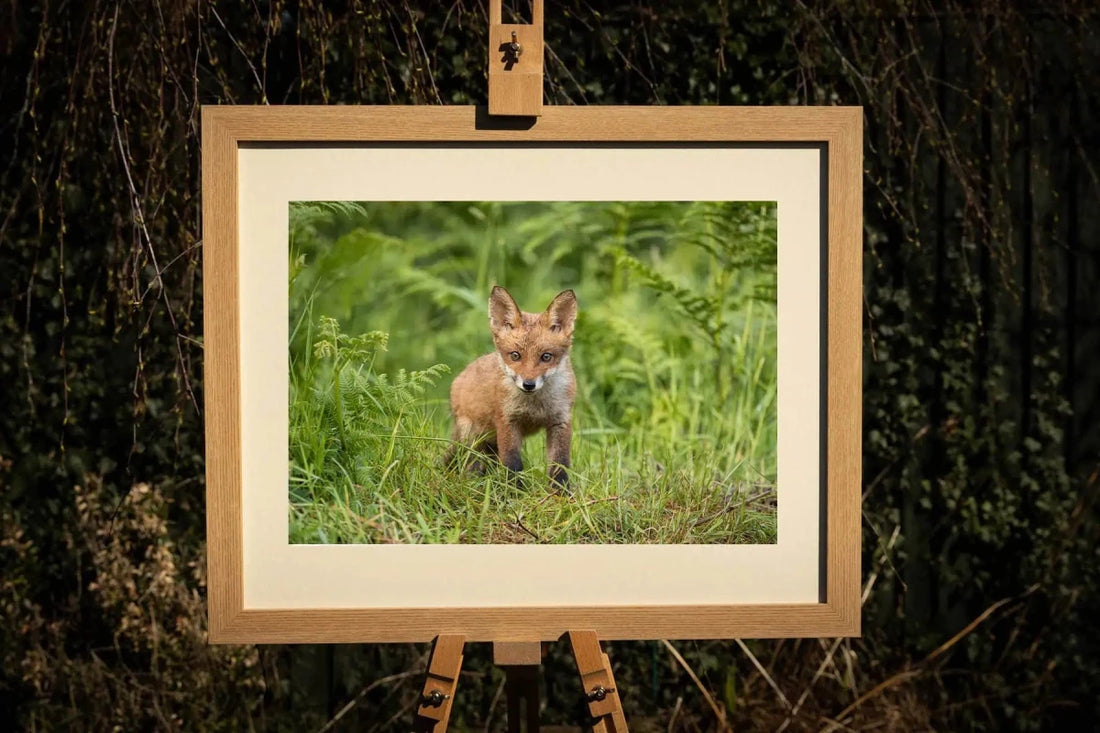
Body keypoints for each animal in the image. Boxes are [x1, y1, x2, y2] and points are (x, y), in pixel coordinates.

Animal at [445, 286, 578, 488]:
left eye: (546, 357)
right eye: (515, 355)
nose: (528, 384)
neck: (535, 406)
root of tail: (459, 379)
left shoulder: (560, 420)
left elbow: (559, 465)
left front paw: (560, 492)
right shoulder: (507, 421)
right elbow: (512, 463)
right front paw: (515, 491)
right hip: (472, 438)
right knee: (468, 464)